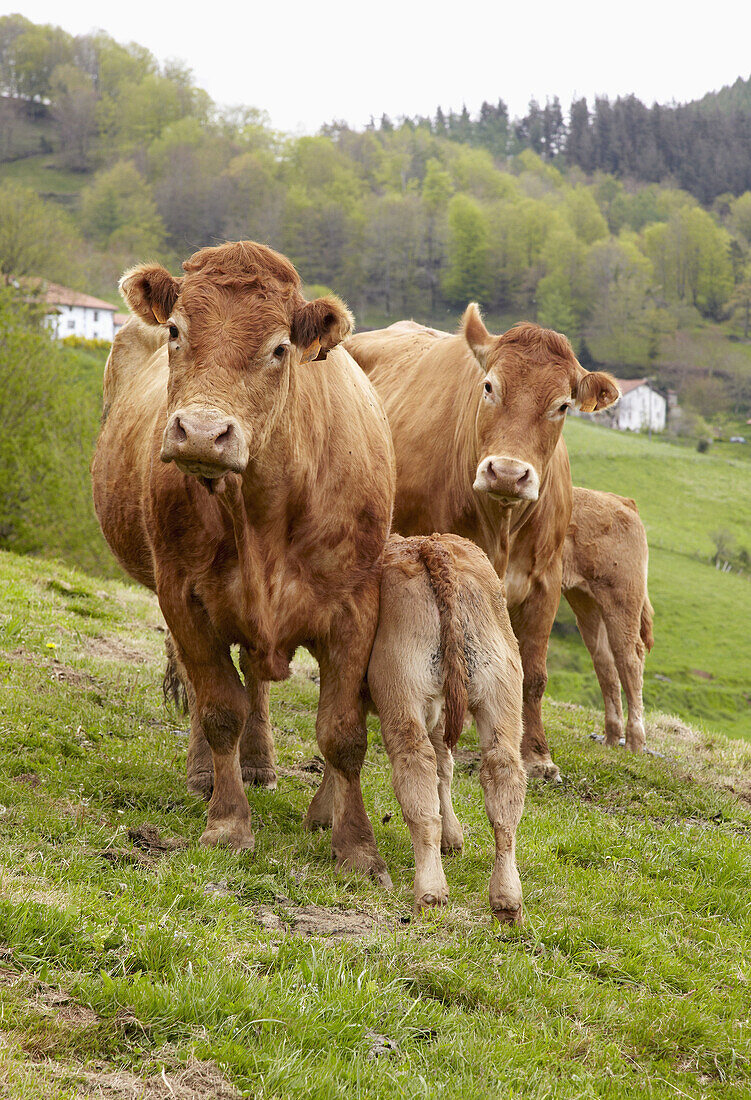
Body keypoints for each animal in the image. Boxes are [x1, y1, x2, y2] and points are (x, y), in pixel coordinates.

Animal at [91, 240, 395, 884]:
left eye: (279, 348)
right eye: (176, 330)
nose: (203, 433)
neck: (263, 510)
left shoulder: (356, 606)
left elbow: (342, 732)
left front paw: (357, 848)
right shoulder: (183, 596)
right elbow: (218, 709)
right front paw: (229, 824)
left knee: (256, 678)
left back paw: (261, 766)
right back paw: (207, 774)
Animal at [343, 312, 620, 783]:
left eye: (563, 405)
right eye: (489, 386)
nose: (507, 472)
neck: (502, 524)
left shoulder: (545, 583)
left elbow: (534, 674)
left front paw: (537, 753)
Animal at [367, 532, 525, 919]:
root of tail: (431, 546)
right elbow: (445, 766)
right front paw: (453, 838)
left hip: (401, 690)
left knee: (415, 767)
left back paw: (430, 889)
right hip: (500, 688)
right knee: (503, 775)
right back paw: (507, 898)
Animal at [562, 488, 650, 752]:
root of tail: (621, 500)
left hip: (621, 601)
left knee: (629, 659)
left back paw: (634, 742)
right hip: (584, 598)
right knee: (605, 662)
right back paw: (611, 737)